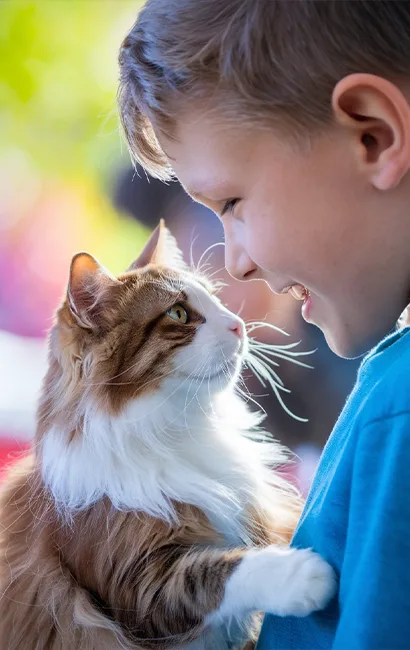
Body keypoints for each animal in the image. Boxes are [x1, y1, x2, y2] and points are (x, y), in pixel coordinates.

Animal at [0, 220, 334, 644]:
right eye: (179, 313)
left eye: (215, 299)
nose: (239, 325)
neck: (177, 429)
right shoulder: (137, 584)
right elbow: (216, 573)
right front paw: (300, 574)